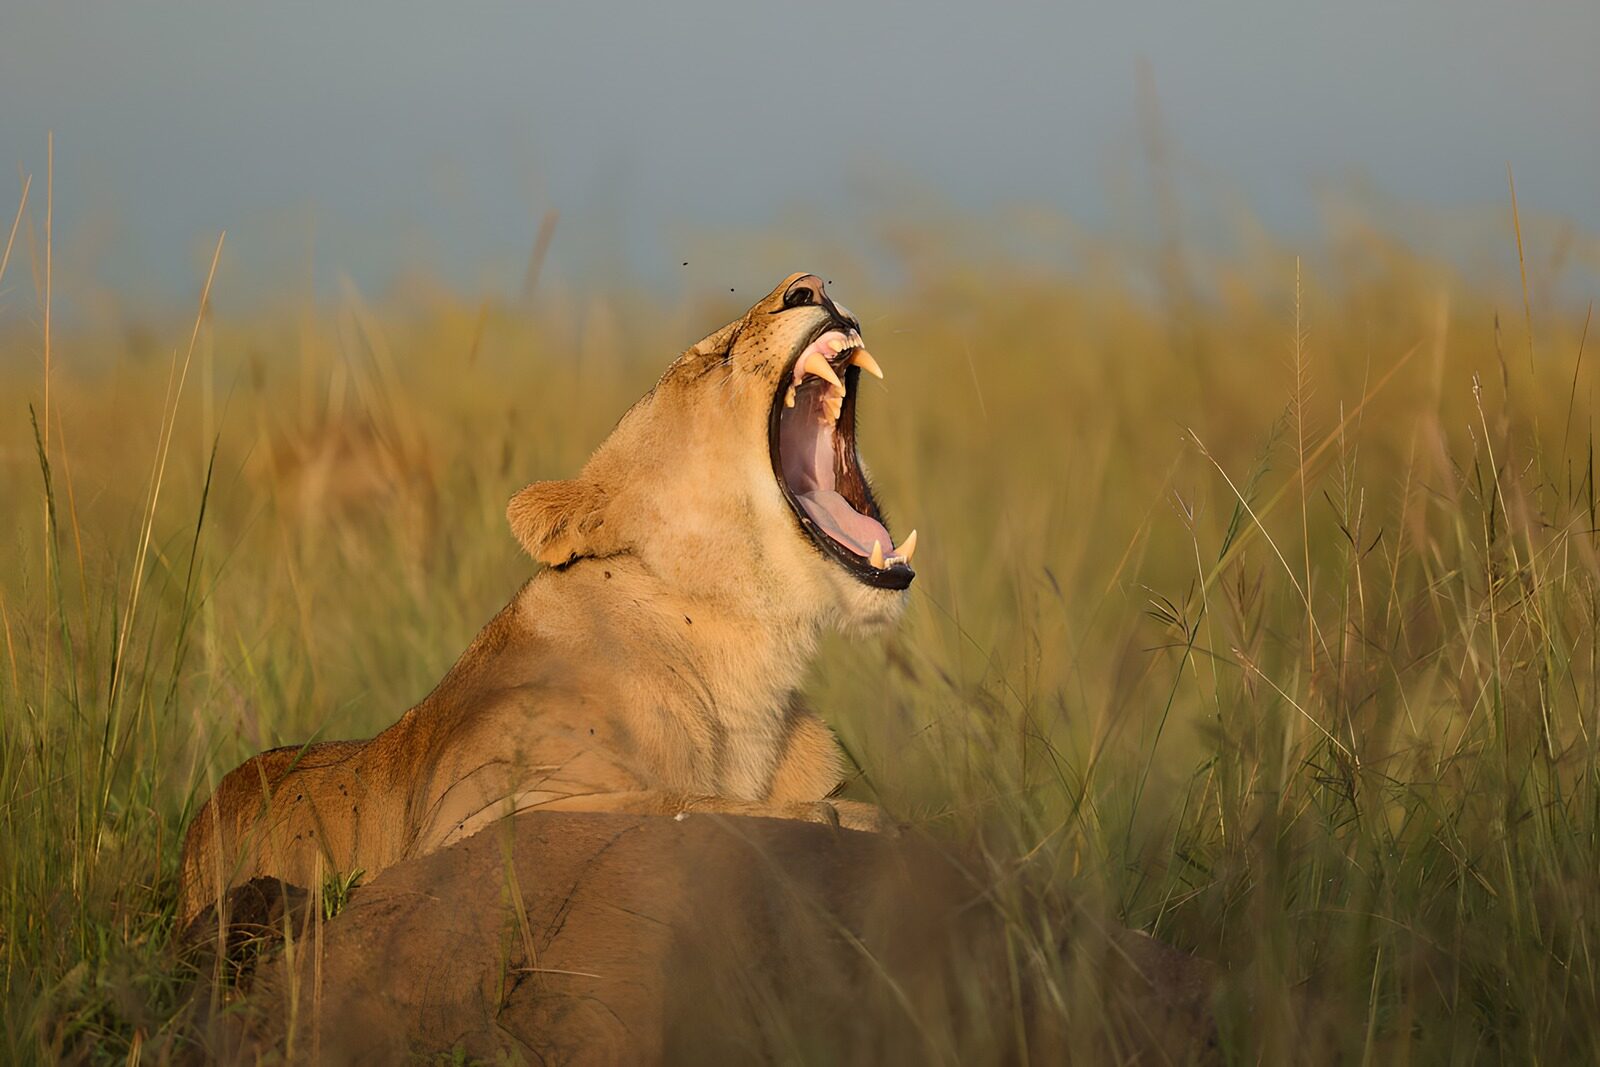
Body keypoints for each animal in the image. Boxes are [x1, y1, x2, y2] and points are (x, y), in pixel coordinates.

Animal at [176, 273, 919, 926]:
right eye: (708, 359)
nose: (810, 286)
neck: (749, 662)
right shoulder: (479, 818)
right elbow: (684, 803)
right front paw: (829, 819)